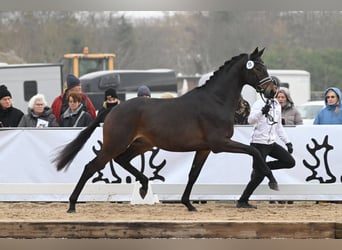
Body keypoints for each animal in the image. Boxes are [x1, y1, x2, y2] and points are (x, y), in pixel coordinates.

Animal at [52, 47, 278, 213]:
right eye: (258, 69)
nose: (272, 91)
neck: (216, 101)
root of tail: (112, 108)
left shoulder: (204, 148)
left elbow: (193, 174)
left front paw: (188, 204)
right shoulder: (220, 144)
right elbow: (255, 151)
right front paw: (273, 181)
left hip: (142, 144)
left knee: (122, 160)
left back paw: (144, 186)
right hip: (114, 144)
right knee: (91, 167)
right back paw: (72, 205)